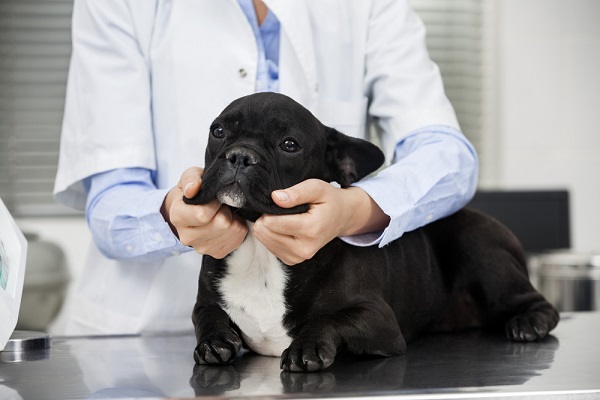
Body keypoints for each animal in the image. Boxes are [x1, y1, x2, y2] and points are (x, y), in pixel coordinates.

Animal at [185, 92, 560, 374]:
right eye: (218, 131)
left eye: (289, 144)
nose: (239, 155)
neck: (259, 248)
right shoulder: (206, 300)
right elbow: (206, 313)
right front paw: (214, 340)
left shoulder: (377, 319)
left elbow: (330, 318)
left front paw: (306, 346)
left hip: (480, 249)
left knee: (540, 304)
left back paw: (530, 323)